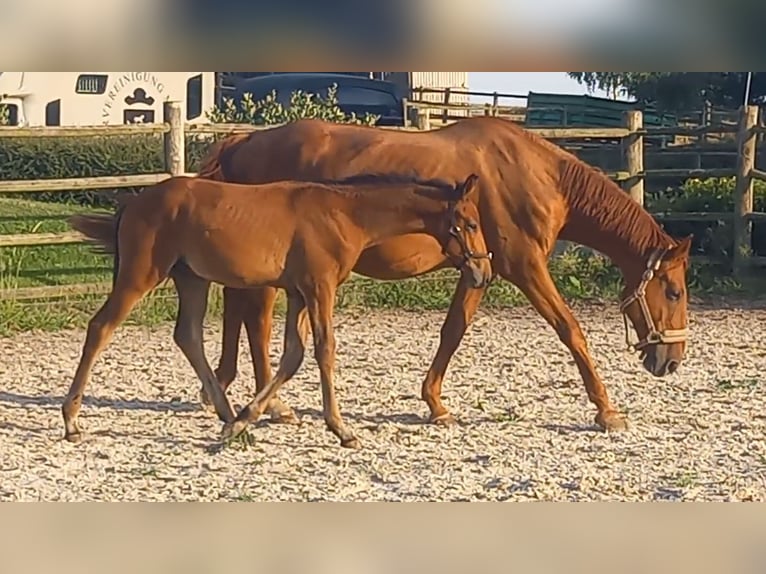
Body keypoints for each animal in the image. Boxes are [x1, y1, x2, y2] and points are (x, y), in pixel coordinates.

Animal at [63, 173, 496, 448]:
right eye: (471, 224)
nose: (483, 272)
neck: (343, 215)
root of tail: (134, 202)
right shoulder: (319, 287)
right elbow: (324, 350)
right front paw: (342, 430)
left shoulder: (299, 293)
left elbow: (293, 355)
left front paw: (246, 417)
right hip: (141, 275)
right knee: (100, 328)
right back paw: (71, 421)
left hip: (192, 279)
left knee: (187, 336)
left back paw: (228, 417)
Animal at [198, 116, 696, 432]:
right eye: (673, 292)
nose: (671, 361)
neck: (535, 174)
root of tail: (243, 140)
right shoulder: (526, 267)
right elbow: (571, 330)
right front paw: (607, 411)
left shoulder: (481, 270)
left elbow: (454, 328)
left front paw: (435, 404)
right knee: (256, 320)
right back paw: (272, 404)